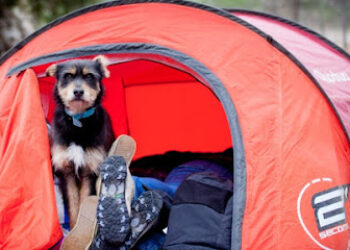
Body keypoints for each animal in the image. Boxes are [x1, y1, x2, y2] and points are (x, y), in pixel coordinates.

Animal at [46, 56, 113, 229]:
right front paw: (73, 229)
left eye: (89, 76)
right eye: (67, 76)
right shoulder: (66, 171)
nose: (78, 92)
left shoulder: (90, 170)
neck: (78, 121)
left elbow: (83, 203)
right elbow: (73, 206)